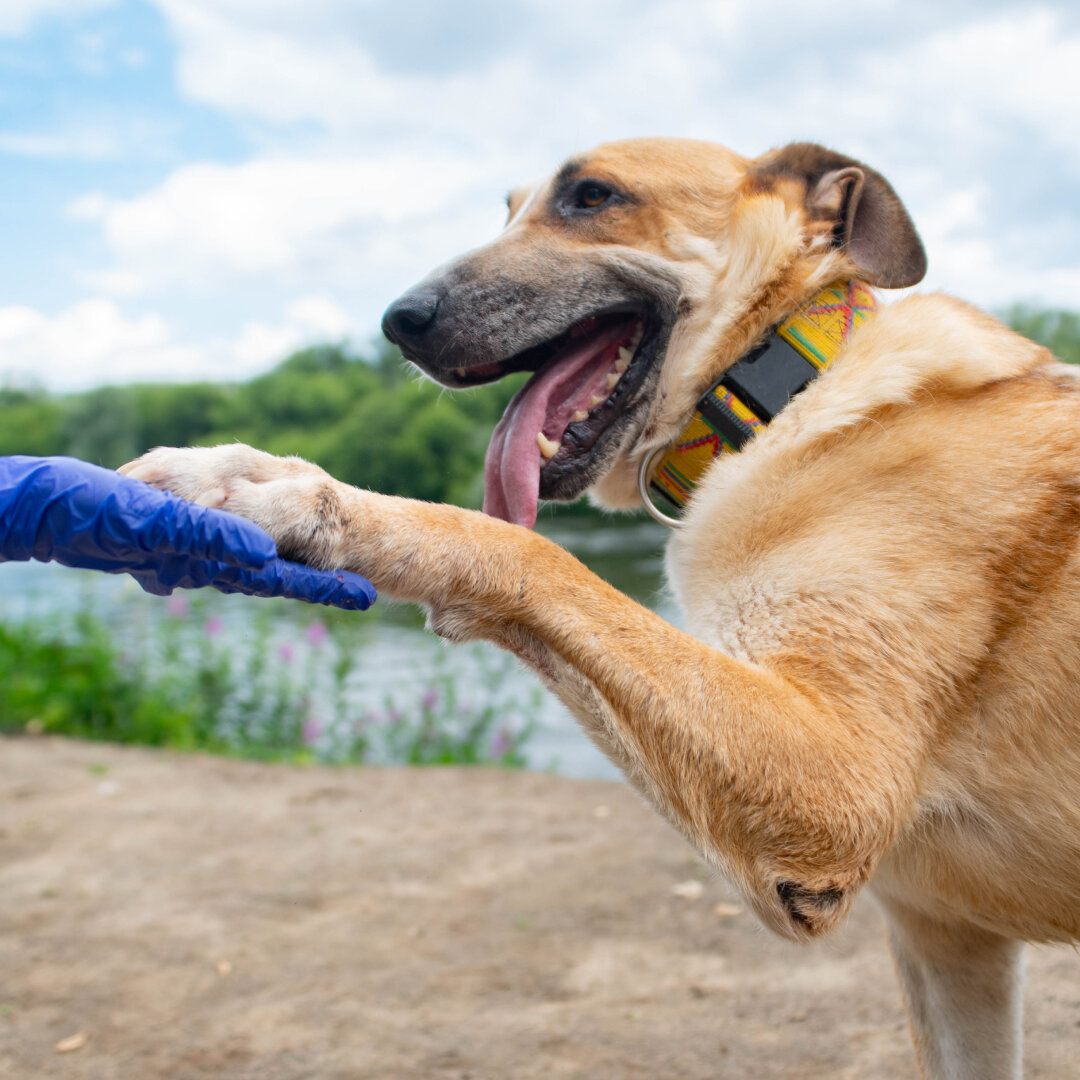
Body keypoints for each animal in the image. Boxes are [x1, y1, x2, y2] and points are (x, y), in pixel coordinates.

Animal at [122, 139, 1080, 1075]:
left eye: (591, 195)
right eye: (506, 210)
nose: (398, 321)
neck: (784, 397)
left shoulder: (832, 784)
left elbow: (522, 548)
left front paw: (294, 492)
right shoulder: (943, 937)